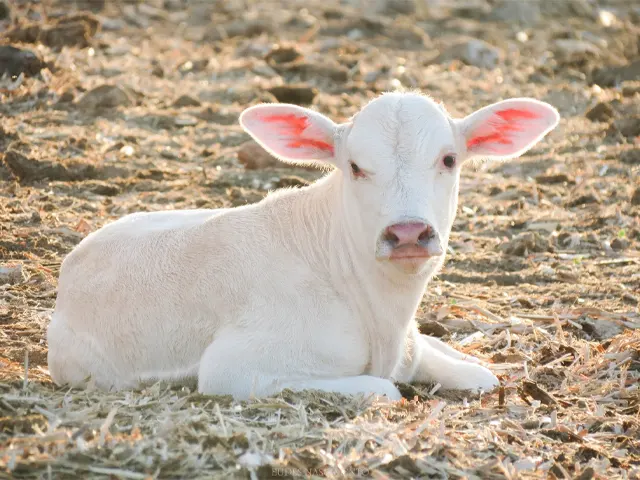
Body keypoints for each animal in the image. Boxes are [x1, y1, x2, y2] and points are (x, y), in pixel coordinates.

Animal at [47, 92, 556, 400]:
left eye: (449, 159)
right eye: (354, 167)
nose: (408, 233)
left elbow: (482, 376)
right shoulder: (233, 368)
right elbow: (386, 388)